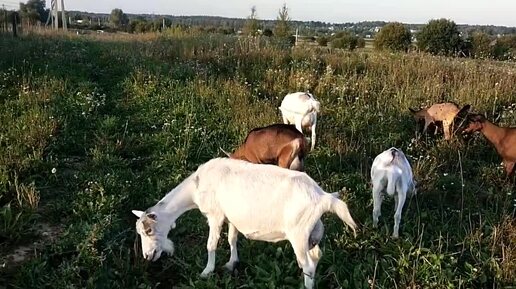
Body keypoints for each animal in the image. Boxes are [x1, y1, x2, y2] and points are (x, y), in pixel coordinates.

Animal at [131, 158, 356, 288]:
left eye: (148, 230)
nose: (147, 256)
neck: (195, 187)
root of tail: (323, 197)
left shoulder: (215, 214)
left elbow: (211, 244)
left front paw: (206, 272)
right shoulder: (231, 216)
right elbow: (232, 238)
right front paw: (232, 263)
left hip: (298, 233)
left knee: (308, 265)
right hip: (312, 232)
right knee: (316, 256)